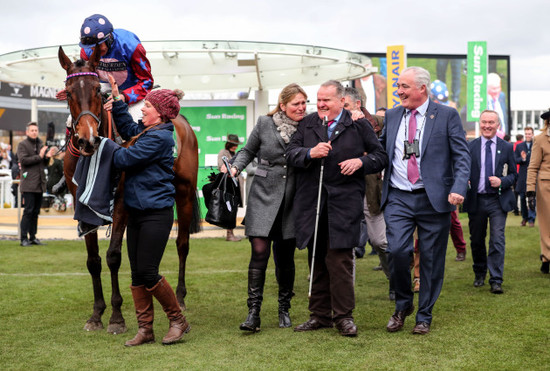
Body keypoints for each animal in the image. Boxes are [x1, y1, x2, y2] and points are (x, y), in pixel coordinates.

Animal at [58, 45, 201, 334]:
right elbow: (93, 260)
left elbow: (113, 256)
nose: (87, 139)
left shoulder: (122, 201)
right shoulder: (80, 203)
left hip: (183, 192)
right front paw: (96, 314)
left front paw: (116, 317)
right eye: (68, 92)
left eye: (97, 91)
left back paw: (180, 298)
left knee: (182, 244)